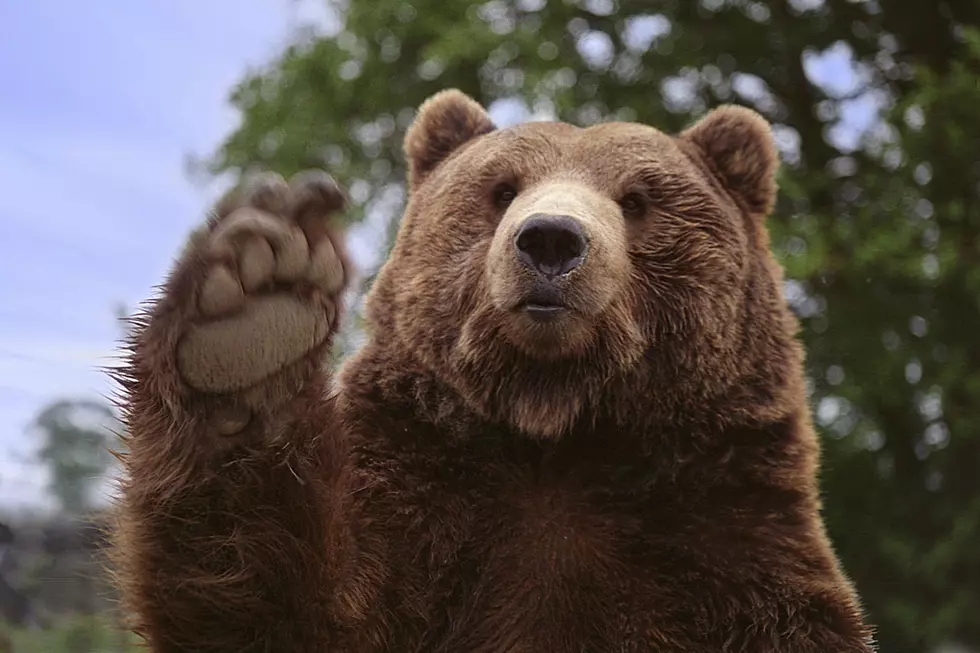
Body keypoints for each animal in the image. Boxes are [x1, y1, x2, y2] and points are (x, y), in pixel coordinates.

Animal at [110, 89, 876, 652]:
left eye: (637, 199)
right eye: (502, 188)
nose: (551, 240)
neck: (558, 425)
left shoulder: (724, 543)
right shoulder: (424, 501)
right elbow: (297, 605)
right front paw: (251, 316)